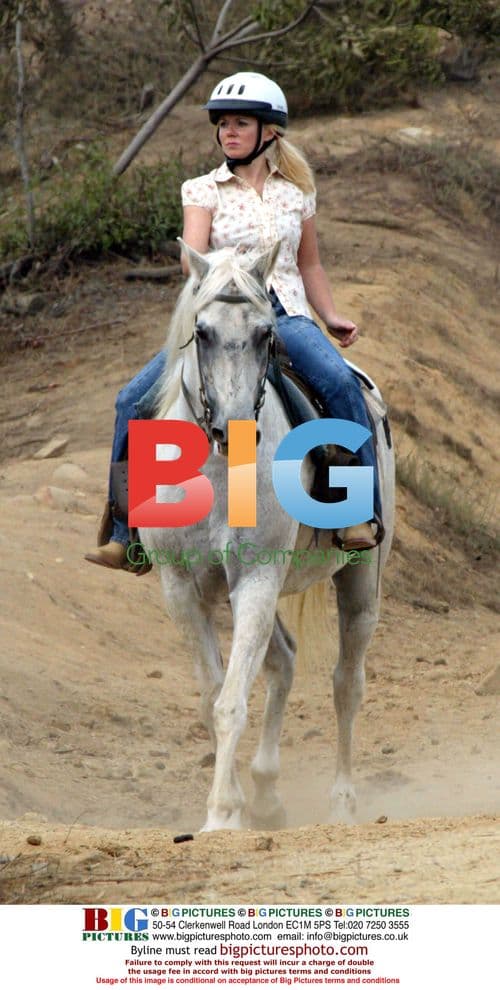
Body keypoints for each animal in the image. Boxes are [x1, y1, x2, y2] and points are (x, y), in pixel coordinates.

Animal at [139, 240, 395, 832]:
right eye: (202, 331)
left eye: (266, 334)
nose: (232, 431)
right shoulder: (181, 590)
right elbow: (213, 695)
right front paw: (235, 803)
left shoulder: (255, 576)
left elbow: (232, 700)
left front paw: (221, 815)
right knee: (285, 659)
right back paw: (267, 794)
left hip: (360, 582)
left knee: (346, 685)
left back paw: (340, 803)